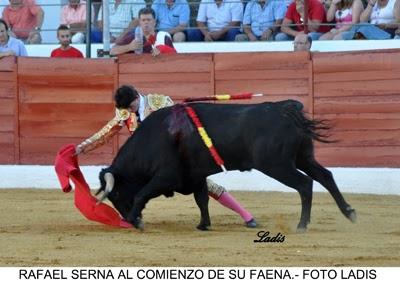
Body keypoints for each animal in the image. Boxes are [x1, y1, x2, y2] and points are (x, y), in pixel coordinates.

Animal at [97, 100, 356, 232]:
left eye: (116, 194)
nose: (126, 217)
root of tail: (286, 108)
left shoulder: (166, 176)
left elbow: (142, 193)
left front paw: (134, 220)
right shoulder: (196, 176)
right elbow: (202, 199)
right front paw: (203, 224)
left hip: (277, 165)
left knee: (304, 183)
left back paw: (302, 225)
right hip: (303, 157)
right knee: (325, 176)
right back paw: (349, 212)